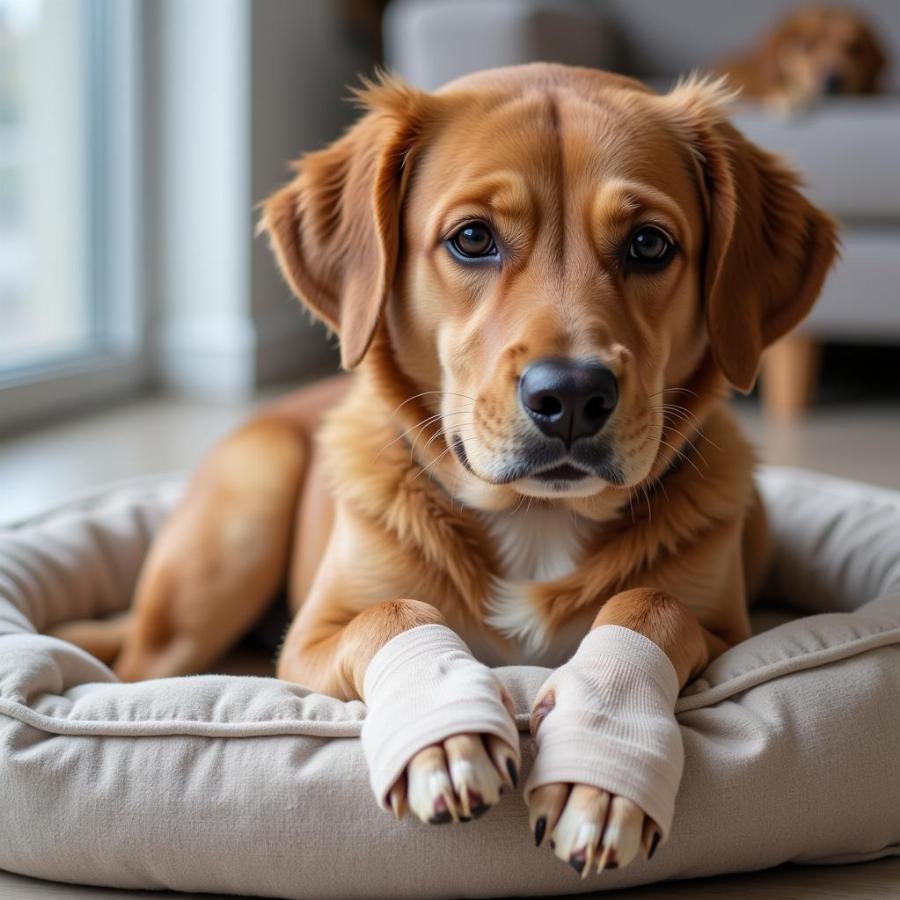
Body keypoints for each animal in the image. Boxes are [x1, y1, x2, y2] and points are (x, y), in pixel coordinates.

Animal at [56, 65, 840, 880]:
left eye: (650, 244)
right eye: (472, 239)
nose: (571, 396)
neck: (534, 516)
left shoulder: (729, 633)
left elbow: (653, 605)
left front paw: (602, 760)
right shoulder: (306, 644)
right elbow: (392, 611)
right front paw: (442, 731)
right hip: (234, 531)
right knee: (142, 669)